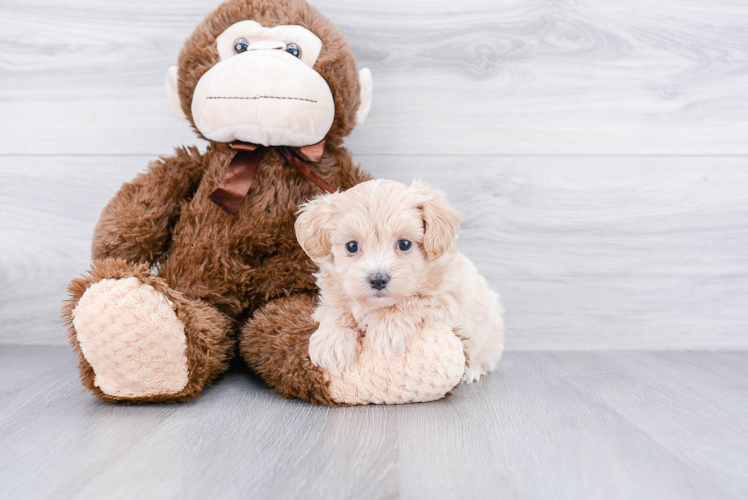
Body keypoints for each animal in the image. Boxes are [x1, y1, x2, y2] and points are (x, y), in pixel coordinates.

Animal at [296, 180, 506, 382]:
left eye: (404, 244)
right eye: (352, 246)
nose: (378, 280)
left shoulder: (446, 301)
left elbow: (412, 301)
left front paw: (384, 329)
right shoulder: (333, 295)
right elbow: (336, 310)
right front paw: (332, 341)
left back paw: (472, 371)